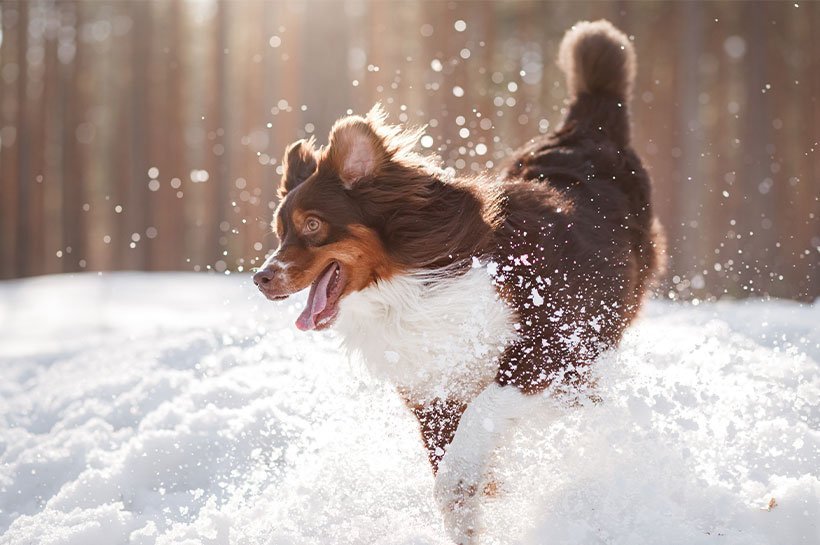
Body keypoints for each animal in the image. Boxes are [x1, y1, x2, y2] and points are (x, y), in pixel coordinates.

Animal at [253, 19, 664, 540]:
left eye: (311, 225)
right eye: (279, 231)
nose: (260, 278)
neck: (411, 286)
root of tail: (587, 126)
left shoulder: (548, 347)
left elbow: (476, 428)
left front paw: (469, 490)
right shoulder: (433, 392)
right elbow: (451, 462)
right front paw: (470, 512)